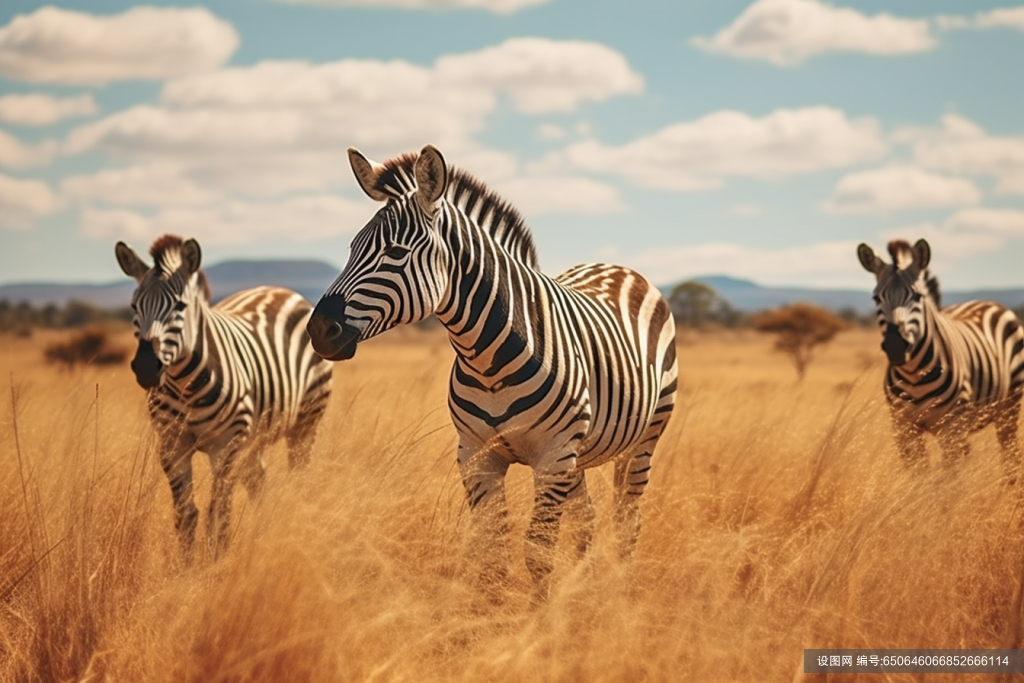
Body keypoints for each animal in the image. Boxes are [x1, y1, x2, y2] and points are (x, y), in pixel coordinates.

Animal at [116, 235, 333, 561]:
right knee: (258, 481)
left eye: (179, 306)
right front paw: (187, 567)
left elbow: (218, 513)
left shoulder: (226, 445)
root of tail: (283, 290)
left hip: (307, 420)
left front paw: (216, 562)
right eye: (133, 306)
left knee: (299, 477)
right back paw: (260, 529)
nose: (145, 367)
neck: (185, 384)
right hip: (254, 436)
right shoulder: (171, 444)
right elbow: (186, 514)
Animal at [303, 144, 675, 593]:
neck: (487, 361)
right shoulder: (477, 456)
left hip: (643, 440)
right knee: (587, 517)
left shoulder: (552, 458)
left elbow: (537, 552)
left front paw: (541, 612)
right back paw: (582, 588)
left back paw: (619, 587)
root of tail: (619, 268)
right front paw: (493, 610)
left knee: (627, 519)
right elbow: (492, 552)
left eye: (395, 253)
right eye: (352, 249)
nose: (319, 330)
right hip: (579, 454)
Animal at [856, 239, 1024, 475]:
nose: (896, 347)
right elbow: (918, 476)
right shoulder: (902, 427)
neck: (914, 375)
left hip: (1009, 406)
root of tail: (988, 301)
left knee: (1010, 456)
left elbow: (947, 480)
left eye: (917, 296)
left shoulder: (951, 427)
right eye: (876, 298)